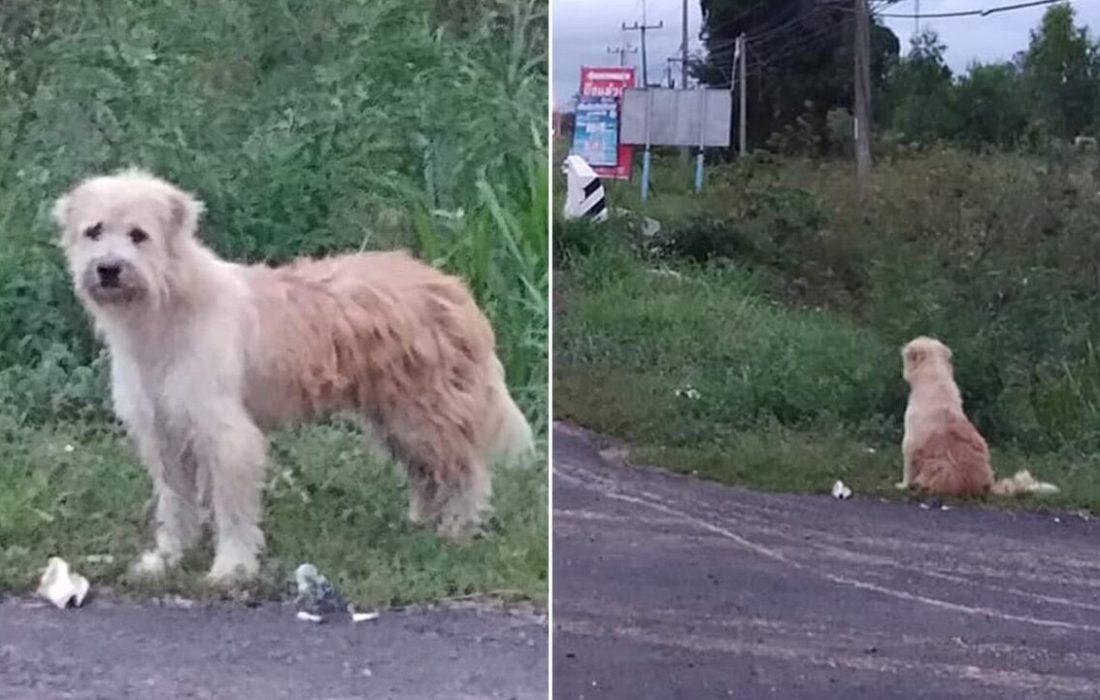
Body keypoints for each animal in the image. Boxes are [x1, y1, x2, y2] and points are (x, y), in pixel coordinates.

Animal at [53, 170, 534, 585]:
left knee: (466, 470)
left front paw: (231, 567)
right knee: (428, 472)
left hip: (423, 411)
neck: (167, 306)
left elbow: (232, 509)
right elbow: (175, 504)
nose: (108, 269)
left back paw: (458, 529)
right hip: (396, 416)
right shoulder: (163, 433)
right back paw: (424, 522)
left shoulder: (225, 433)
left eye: (139, 235)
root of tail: (452, 287)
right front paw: (167, 558)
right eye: (94, 231)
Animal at [902, 336, 1056, 497]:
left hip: (943, 466)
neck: (935, 376)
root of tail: (988, 486)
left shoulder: (910, 442)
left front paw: (902, 485)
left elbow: (907, 469)